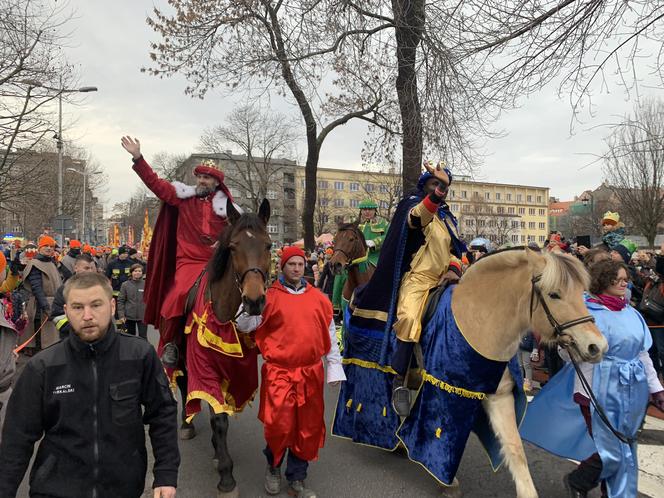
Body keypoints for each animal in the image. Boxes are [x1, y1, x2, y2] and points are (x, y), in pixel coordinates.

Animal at [183, 198, 272, 498]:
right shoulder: (204, 366)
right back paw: (186, 425)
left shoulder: (233, 369)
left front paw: (217, 455)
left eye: (269, 245)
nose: (254, 301)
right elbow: (218, 418)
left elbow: (220, 412)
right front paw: (226, 476)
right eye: (233, 247)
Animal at [452, 249, 608, 498]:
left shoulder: (499, 397)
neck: (477, 326)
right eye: (554, 294)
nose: (597, 346)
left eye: (582, 293)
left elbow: (515, 449)